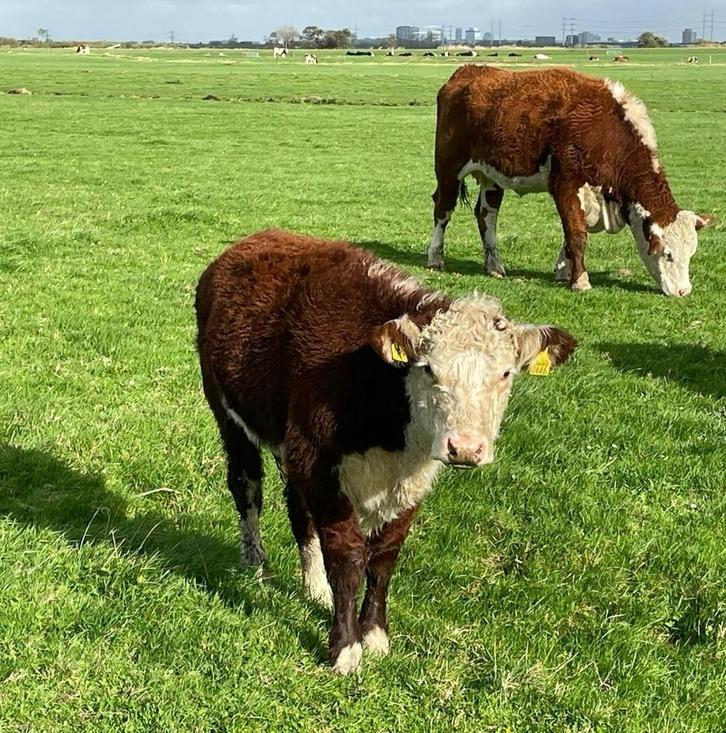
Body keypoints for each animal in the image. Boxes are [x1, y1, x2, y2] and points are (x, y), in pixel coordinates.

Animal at [195, 229, 577, 674]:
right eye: (428, 369)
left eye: (505, 373)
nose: (465, 448)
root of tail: (252, 242)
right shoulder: (319, 463)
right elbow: (347, 556)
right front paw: (345, 648)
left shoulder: (409, 480)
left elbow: (384, 557)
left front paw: (375, 634)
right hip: (227, 412)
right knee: (247, 485)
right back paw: (256, 564)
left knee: (296, 506)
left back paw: (313, 586)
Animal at [426, 65, 713, 296]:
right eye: (668, 254)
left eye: (691, 253)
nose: (684, 291)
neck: (605, 131)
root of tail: (468, 71)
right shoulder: (565, 184)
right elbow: (576, 234)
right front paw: (580, 280)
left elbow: (572, 232)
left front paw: (564, 271)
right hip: (449, 169)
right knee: (443, 210)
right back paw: (435, 258)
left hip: (492, 175)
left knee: (486, 215)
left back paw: (494, 265)